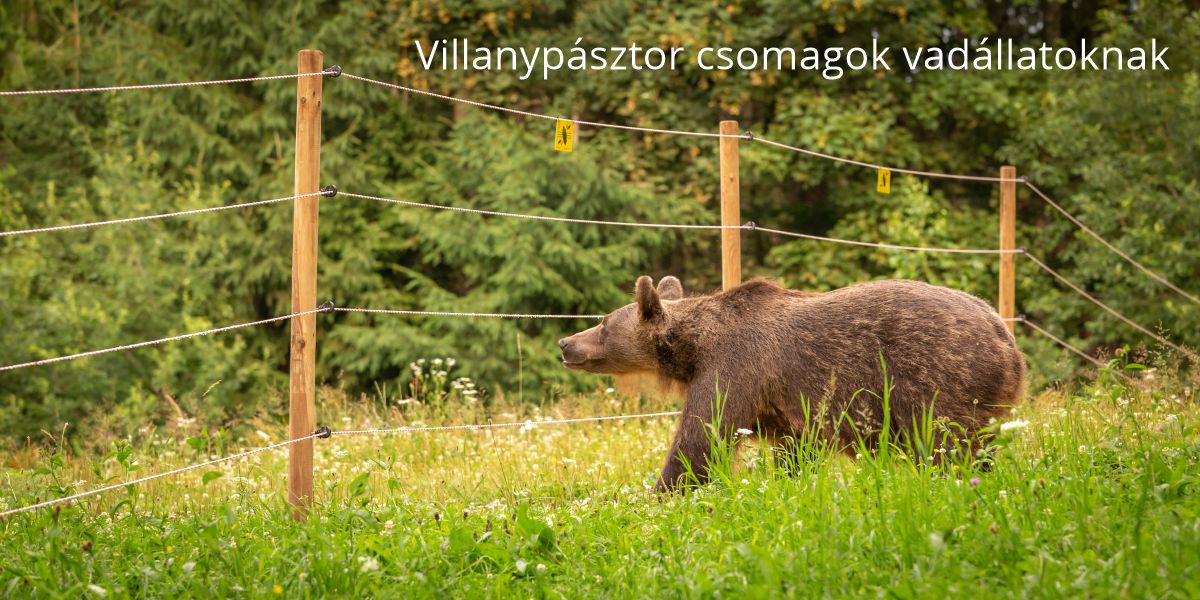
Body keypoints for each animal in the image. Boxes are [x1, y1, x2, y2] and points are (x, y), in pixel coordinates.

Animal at [556, 276, 1027, 492]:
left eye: (603, 323)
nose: (565, 342)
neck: (694, 346)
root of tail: (1006, 336)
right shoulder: (784, 405)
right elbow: (795, 450)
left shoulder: (737, 366)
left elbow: (701, 437)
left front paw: (662, 491)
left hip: (940, 376)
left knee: (948, 445)